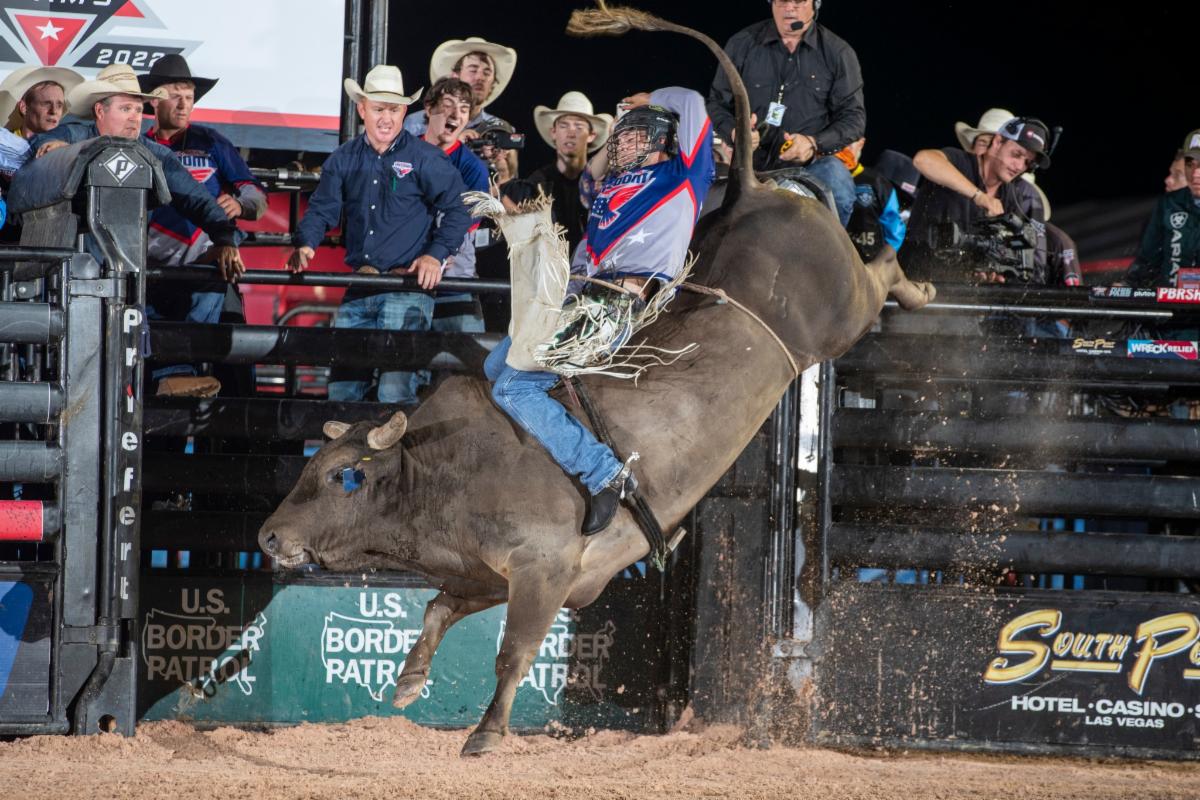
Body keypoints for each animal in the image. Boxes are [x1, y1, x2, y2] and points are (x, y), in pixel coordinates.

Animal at [258, 4, 931, 758]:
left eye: (344, 476)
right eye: (309, 468)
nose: (270, 538)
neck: (441, 472)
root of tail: (755, 192)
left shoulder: (543, 566)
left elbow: (513, 652)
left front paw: (484, 734)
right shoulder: (489, 574)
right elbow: (437, 607)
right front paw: (407, 682)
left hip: (843, 310)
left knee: (880, 275)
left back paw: (917, 278)